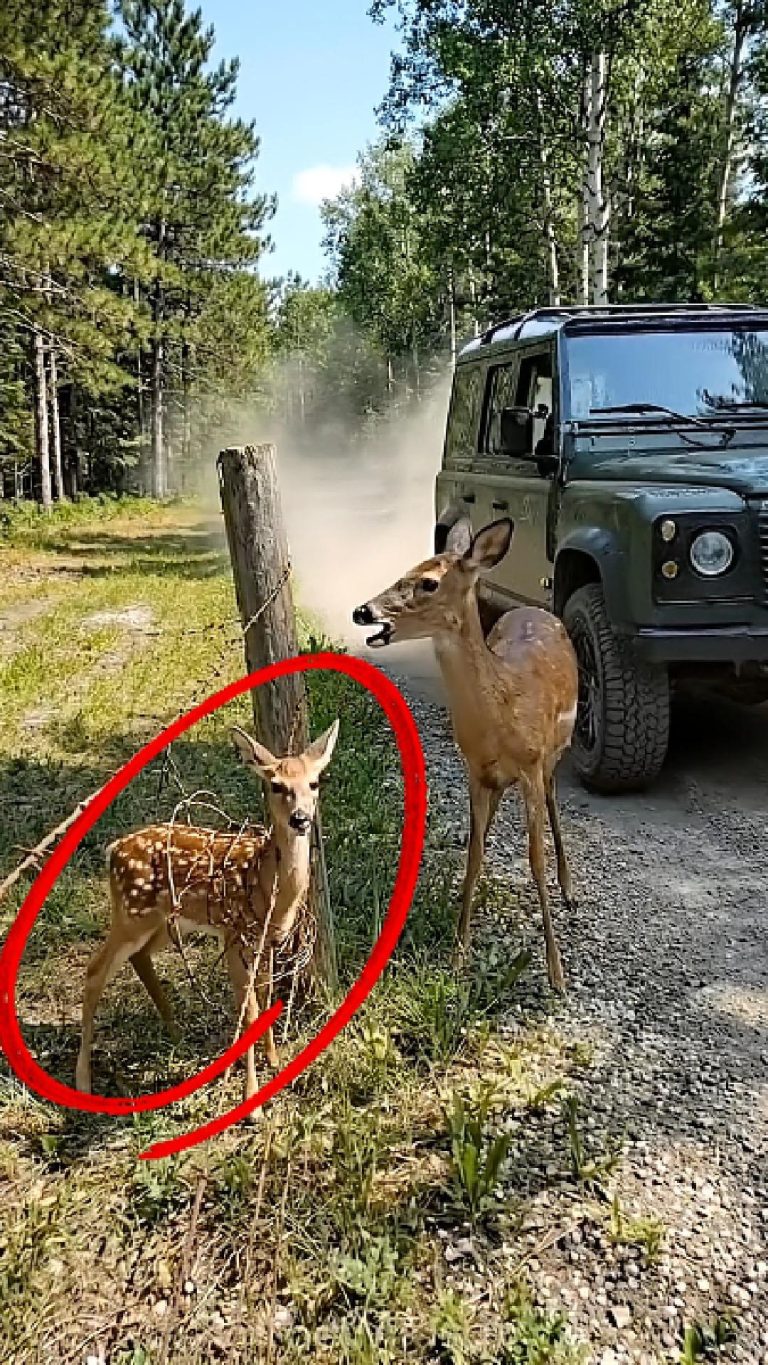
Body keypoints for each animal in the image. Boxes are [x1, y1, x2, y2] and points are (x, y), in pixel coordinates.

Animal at [75, 720, 339, 1101]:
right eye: (276, 785)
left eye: (314, 783)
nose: (300, 819)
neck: (267, 886)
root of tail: (112, 850)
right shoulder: (232, 935)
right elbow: (248, 1009)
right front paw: (251, 1097)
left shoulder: (266, 940)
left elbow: (265, 995)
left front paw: (274, 1060)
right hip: (130, 911)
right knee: (95, 970)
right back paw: (83, 1081)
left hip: (167, 920)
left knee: (139, 957)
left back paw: (176, 1035)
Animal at [353, 517, 578, 991]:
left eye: (428, 582)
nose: (363, 611)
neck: (502, 711)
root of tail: (541, 610)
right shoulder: (474, 770)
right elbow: (473, 854)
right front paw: (458, 952)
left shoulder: (530, 764)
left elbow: (535, 861)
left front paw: (556, 973)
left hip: (555, 750)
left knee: (553, 797)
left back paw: (569, 890)